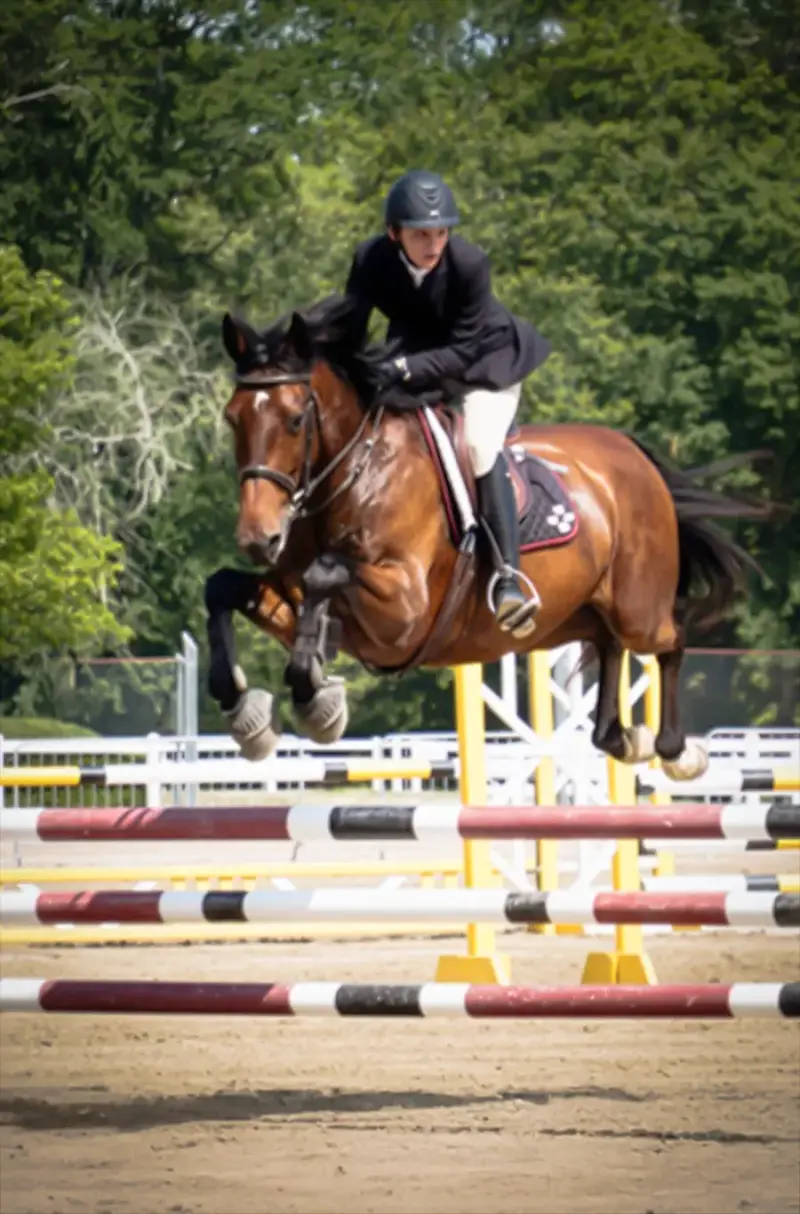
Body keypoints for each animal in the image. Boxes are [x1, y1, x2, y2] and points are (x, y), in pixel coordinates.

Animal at [204, 293, 771, 782]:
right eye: (232, 418)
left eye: (295, 419)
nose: (257, 537)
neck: (356, 473)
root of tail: (634, 455)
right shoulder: (302, 593)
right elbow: (225, 588)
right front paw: (250, 713)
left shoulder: (403, 613)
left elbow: (324, 573)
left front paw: (316, 703)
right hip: (579, 613)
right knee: (609, 647)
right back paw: (621, 737)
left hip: (638, 608)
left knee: (668, 640)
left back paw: (676, 750)